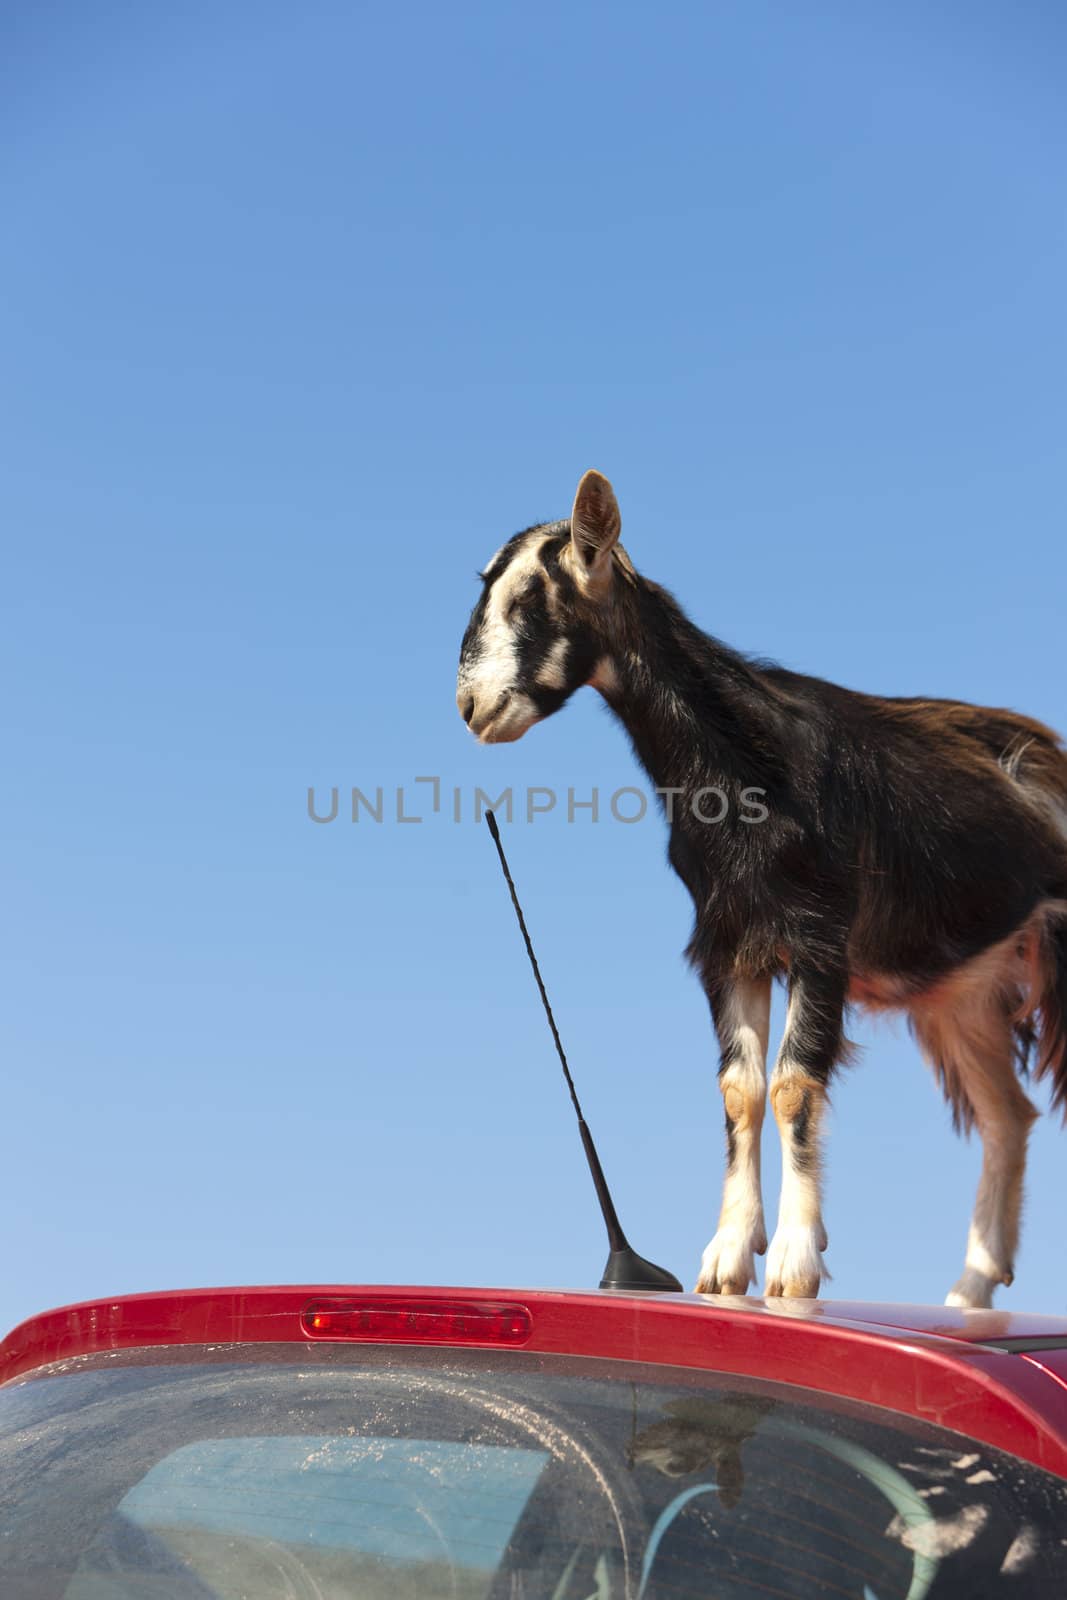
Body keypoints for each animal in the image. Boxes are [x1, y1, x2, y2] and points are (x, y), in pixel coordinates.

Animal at [460, 467, 1067, 1305]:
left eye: (533, 595)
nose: (471, 706)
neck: (747, 773)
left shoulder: (818, 940)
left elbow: (790, 1086)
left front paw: (791, 1262)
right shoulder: (730, 946)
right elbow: (739, 1091)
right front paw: (725, 1257)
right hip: (962, 993)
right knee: (1008, 1115)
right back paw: (968, 1291)